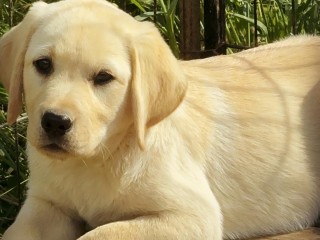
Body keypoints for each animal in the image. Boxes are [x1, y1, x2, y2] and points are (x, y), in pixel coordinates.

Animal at [0, 0, 320, 240]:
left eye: (104, 77)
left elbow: (99, 234)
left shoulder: (192, 216)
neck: (96, 159)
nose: (55, 122)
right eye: (43, 64)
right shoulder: (45, 205)